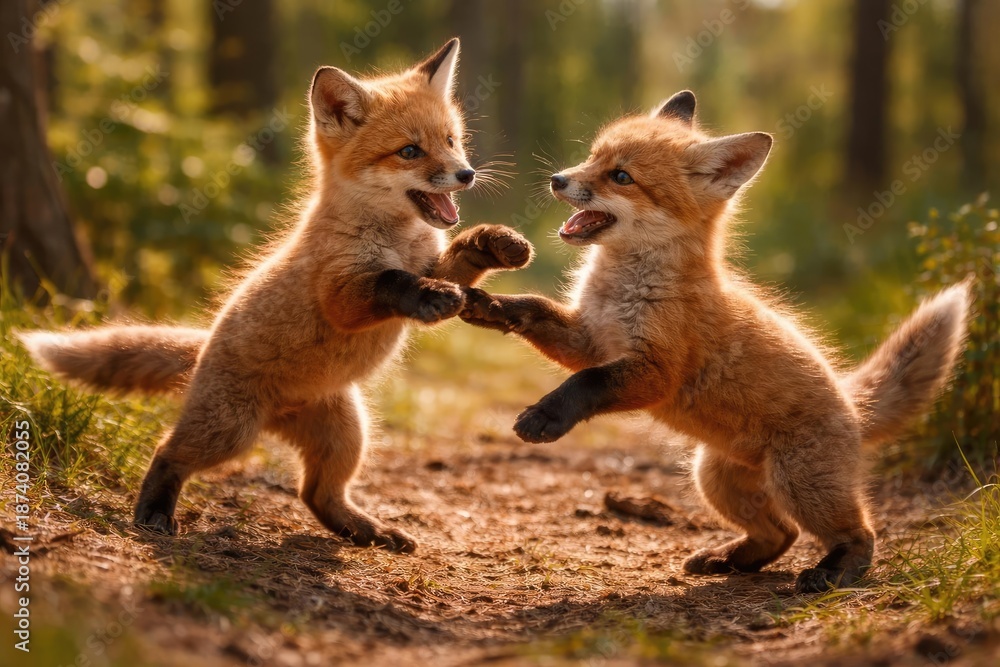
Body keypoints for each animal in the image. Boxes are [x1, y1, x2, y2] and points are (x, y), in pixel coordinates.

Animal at [19, 38, 533, 554]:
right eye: (409, 151)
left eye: (450, 141)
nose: (466, 174)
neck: (398, 238)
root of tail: (201, 351)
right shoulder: (342, 292)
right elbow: (392, 283)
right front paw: (429, 297)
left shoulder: (431, 260)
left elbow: (458, 260)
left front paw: (495, 243)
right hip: (228, 433)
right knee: (168, 452)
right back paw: (153, 514)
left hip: (348, 434)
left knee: (316, 494)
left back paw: (368, 531)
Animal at [460, 90, 971, 592]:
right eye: (592, 156)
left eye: (621, 176)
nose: (557, 179)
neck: (626, 287)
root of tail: (851, 405)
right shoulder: (588, 338)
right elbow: (532, 309)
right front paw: (486, 304)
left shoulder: (654, 371)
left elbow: (586, 383)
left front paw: (544, 416)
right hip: (715, 480)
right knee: (780, 534)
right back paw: (729, 560)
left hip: (801, 487)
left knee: (859, 533)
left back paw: (834, 572)